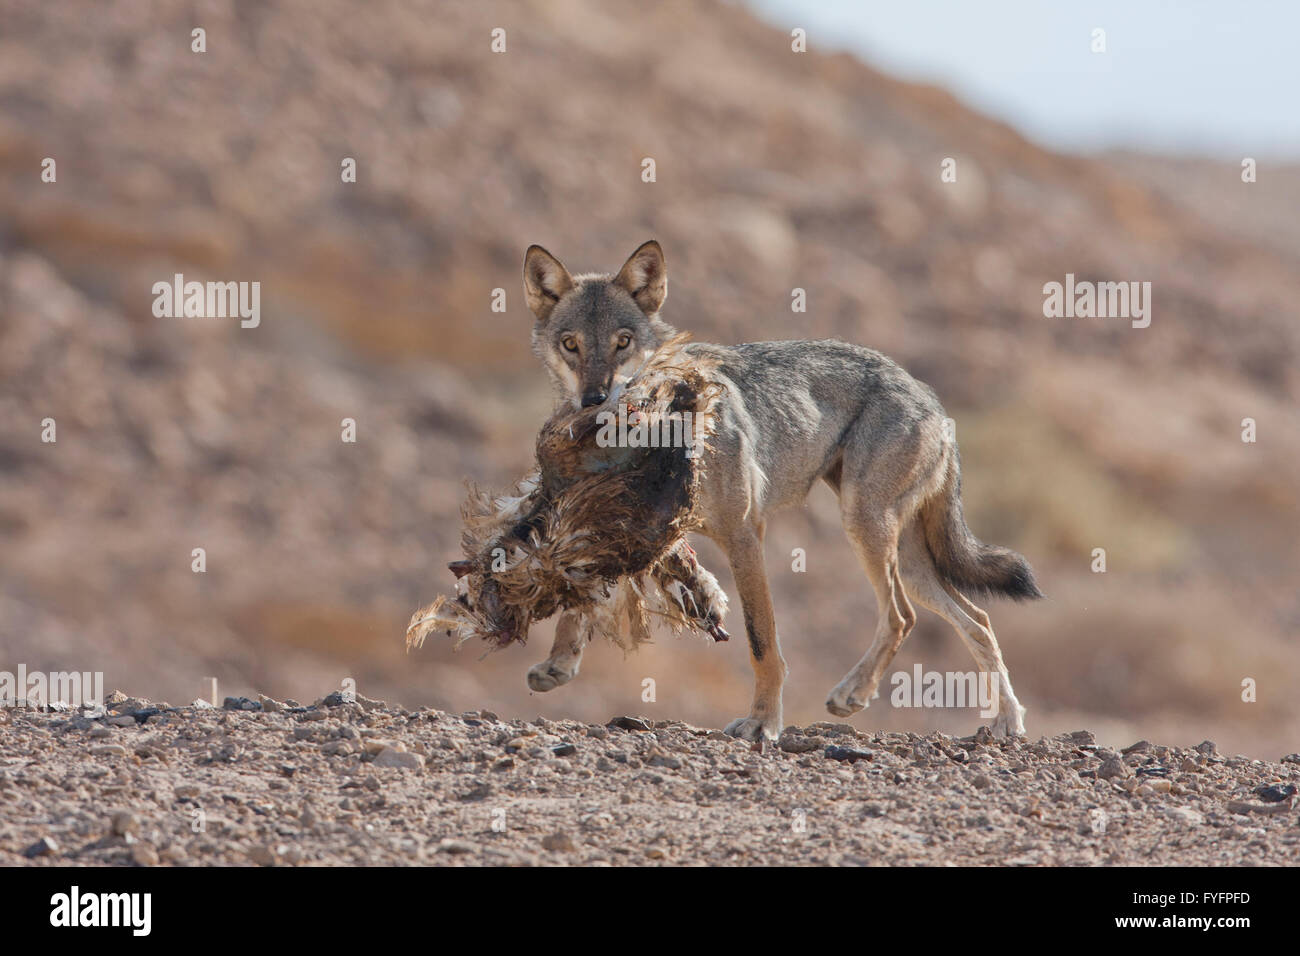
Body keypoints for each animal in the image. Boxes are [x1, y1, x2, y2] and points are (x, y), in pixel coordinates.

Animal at [517, 238, 1034, 738]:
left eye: (622, 343)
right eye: (570, 345)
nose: (594, 401)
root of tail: (927, 395)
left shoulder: (745, 534)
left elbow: (761, 641)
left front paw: (763, 723)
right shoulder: (631, 529)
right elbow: (580, 596)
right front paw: (559, 662)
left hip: (866, 529)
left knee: (903, 617)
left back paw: (854, 696)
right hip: (906, 558)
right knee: (978, 620)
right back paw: (1007, 723)